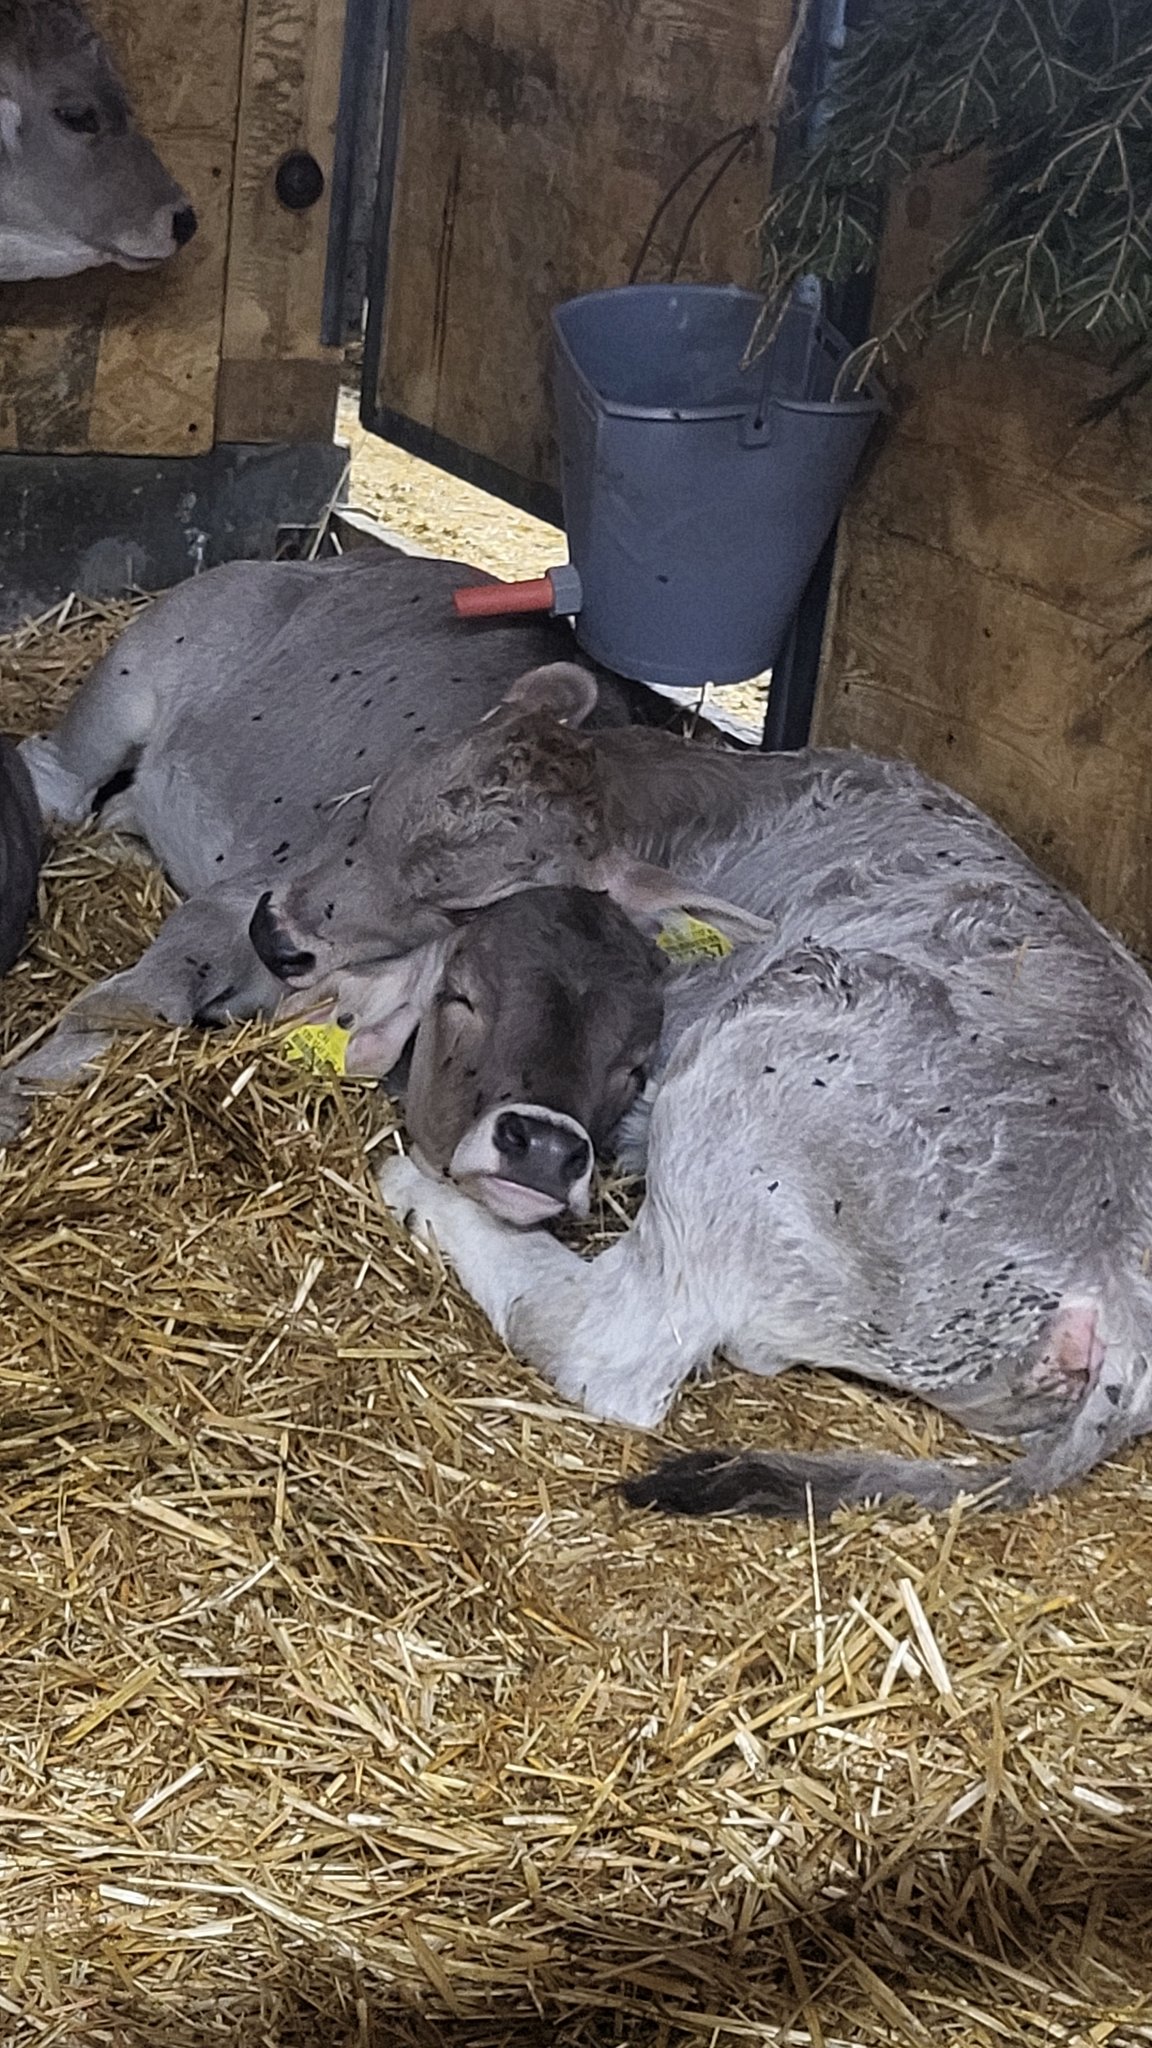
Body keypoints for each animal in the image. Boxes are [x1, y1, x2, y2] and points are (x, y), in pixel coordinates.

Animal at [243, 663, 1152, 1521]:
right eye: (375, 802)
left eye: (466, 905)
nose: (273, 933)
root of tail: (1117, 1296)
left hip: (747, 1089)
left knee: (608, 1341)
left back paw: (420, 1190)